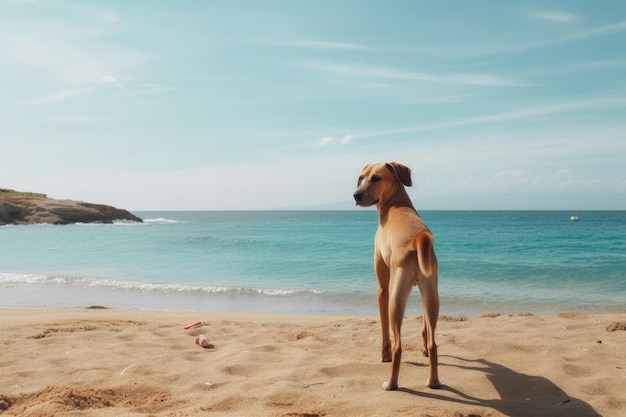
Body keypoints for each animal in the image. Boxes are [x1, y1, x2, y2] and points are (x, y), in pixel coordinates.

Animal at [352, 162, 438, 390]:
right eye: (361, 177)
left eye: (376, 178)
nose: (356, 195)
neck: (396, 203)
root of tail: (418, 238)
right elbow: (425, 330)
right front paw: (423, 349)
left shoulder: (383, 288)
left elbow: (384, 329)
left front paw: (384, 354)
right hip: (432, 295)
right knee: (434, 343)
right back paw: (433, 381)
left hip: (395, 299)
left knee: (399, 345)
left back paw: (391, 383)